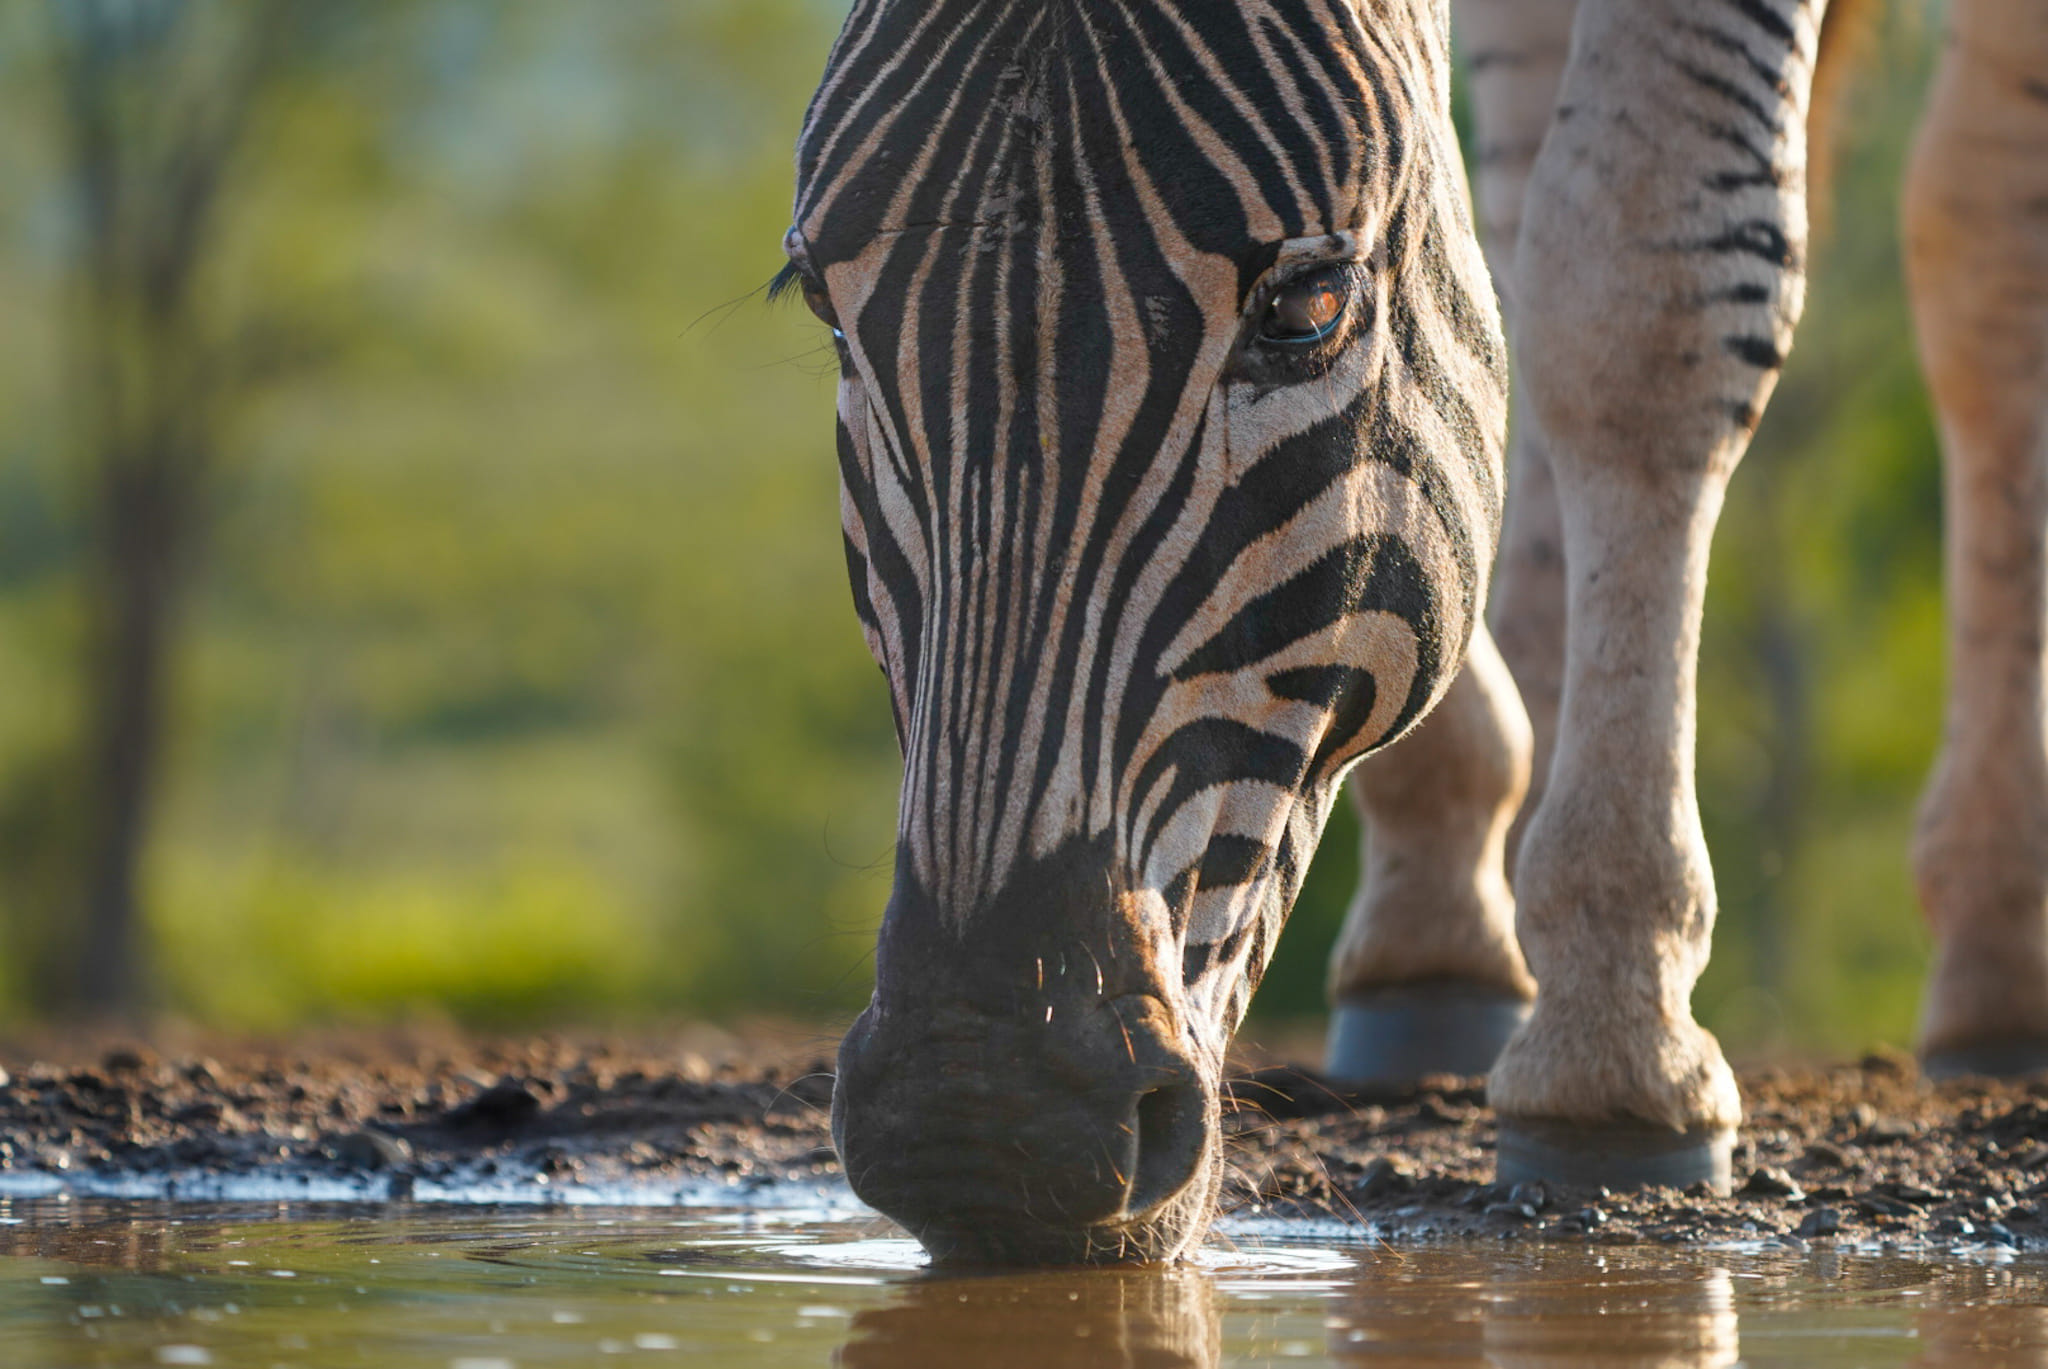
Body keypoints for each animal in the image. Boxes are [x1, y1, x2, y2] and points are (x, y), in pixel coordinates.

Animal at [776, 0, 2048, 1263]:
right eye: (827, 312)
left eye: (1306, 308)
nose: (977, 1121)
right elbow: (1513, 268)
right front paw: (1452, 879)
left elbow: (1634, 290)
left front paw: (1617, 1030)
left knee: (1983, 243)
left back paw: (1993, 951)